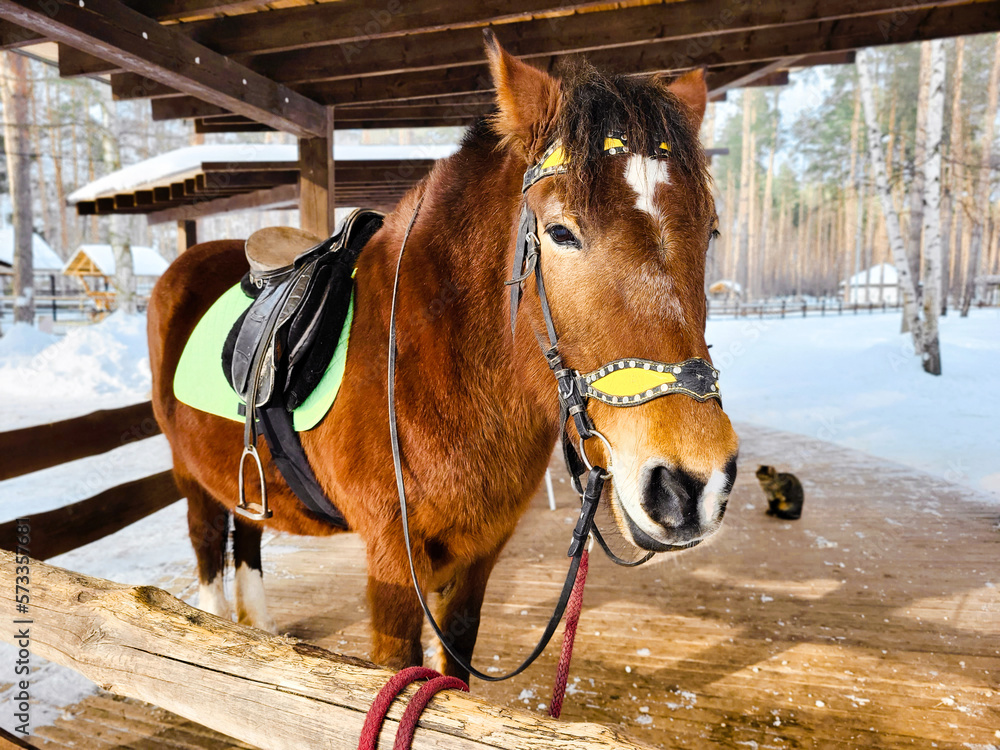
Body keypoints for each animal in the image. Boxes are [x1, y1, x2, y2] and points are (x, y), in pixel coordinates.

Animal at [147, 35, 740, 681]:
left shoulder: (481, 551)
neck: (429, 363)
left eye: (710, 232)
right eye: (560, 232)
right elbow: (397, 667)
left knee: (249, 532)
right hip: (189, 476)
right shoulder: (393, 554)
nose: (690, 487)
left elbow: (454, 661)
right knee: (209, 544)